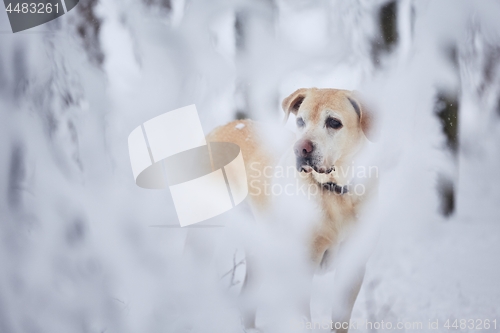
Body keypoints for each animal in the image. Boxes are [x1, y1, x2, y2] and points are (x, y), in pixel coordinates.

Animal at [206, 87, 376, 332]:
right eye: (300, 121)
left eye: (334, 122)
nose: (300, 149)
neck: (335, 193)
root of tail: (218, 128)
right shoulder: (302, 269)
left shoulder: (352, 268)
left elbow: (340, 321)